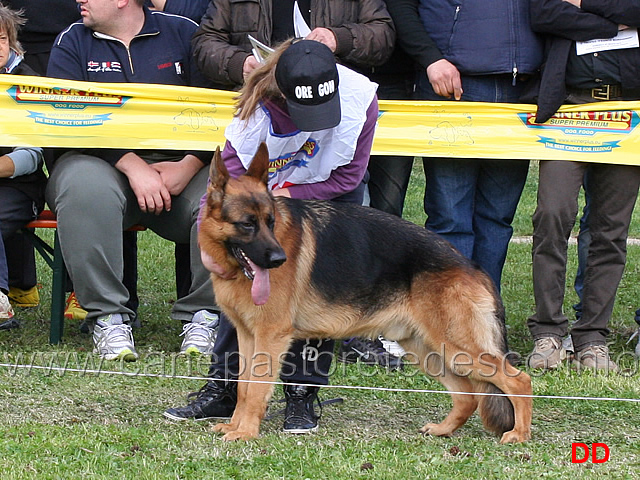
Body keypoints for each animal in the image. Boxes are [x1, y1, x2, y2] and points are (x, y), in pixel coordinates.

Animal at [199, 142, 528, 442]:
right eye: (247, 224)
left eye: (270, 222)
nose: (280, 259)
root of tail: (473, 267)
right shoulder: (248, 336)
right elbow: (244, 386)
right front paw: (235, 425)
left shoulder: (270, 336)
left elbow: (256, 388)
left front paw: (246, 432)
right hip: (429, 350)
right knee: (467, 396)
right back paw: (443, 430)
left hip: (457, 348)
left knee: (518, 380)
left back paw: (519, 435)